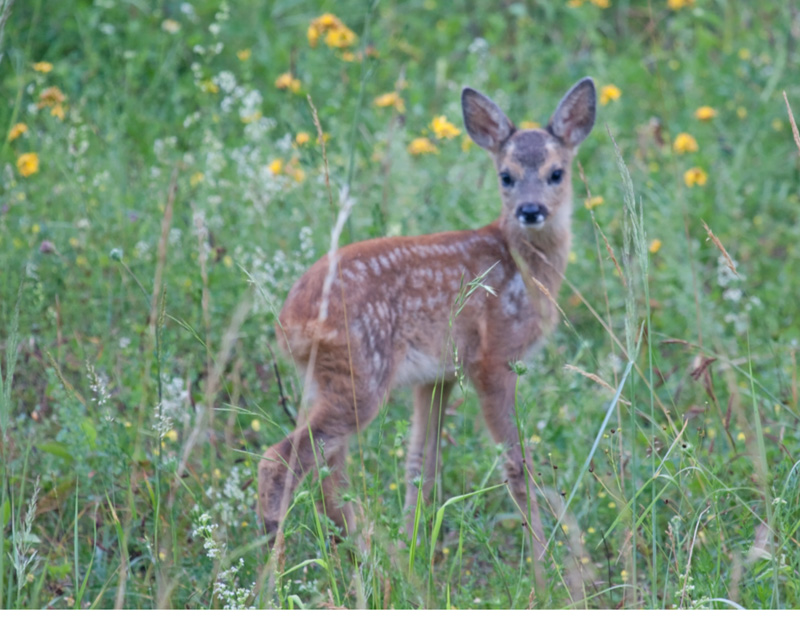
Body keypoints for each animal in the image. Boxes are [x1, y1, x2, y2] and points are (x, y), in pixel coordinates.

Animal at [260, 77, 596, 564]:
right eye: (506, 175)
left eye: (557, 172)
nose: (531, 210)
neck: (524, 269)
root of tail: (290, 320)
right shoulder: (492, 358)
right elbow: (515, 464)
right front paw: (541, 563)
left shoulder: (438, 376)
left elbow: (421, 464)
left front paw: (412, 549)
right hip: (361, 372)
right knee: (284, 458)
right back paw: (277, 563)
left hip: (322, 378)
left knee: (327, 465)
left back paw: (365, 554)